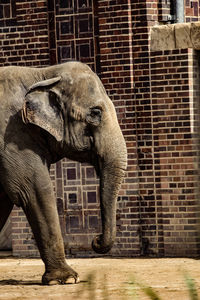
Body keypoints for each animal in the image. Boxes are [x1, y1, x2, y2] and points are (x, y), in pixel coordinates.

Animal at [0, 60, 126, 284]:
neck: (43, 73)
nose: (95, 240)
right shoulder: (11, 133)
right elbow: (32, 190)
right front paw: (65, 279)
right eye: (95, 113)